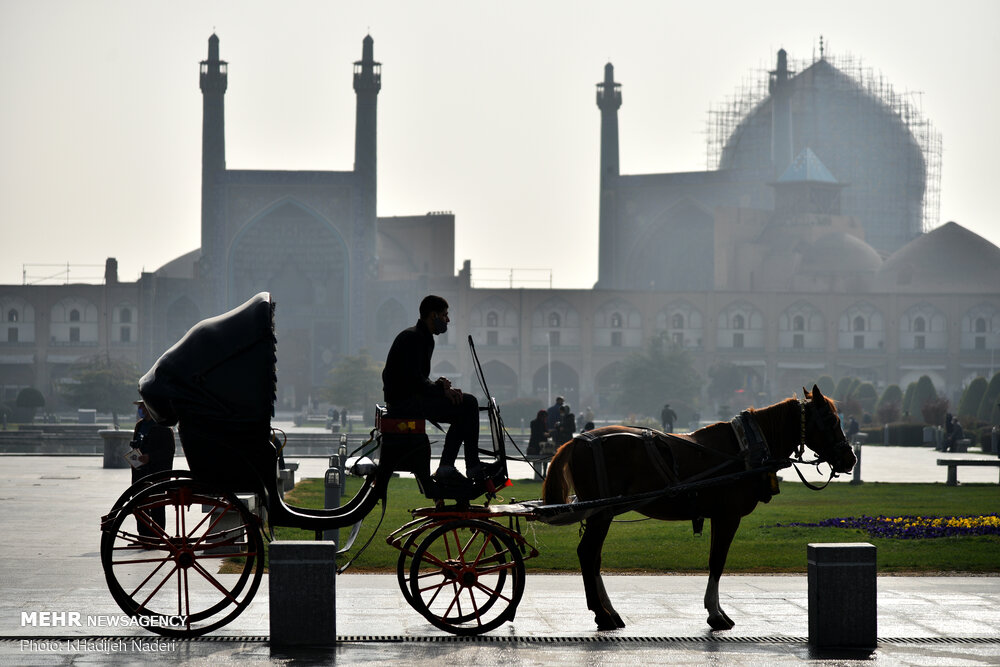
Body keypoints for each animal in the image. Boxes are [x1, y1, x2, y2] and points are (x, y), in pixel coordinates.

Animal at [544, 386, 856, 632]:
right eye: (831, 419)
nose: (850, 458)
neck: (744, 448)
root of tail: (576, 440)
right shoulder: (728, 516)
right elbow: (717, 561)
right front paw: (715, 614)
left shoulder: (719, 516)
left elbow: (715, 560)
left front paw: (716, 610)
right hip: (601, 512)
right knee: (588, 553)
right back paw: (602, 614)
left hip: (603, 512)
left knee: (594, 556)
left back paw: (610, 611)